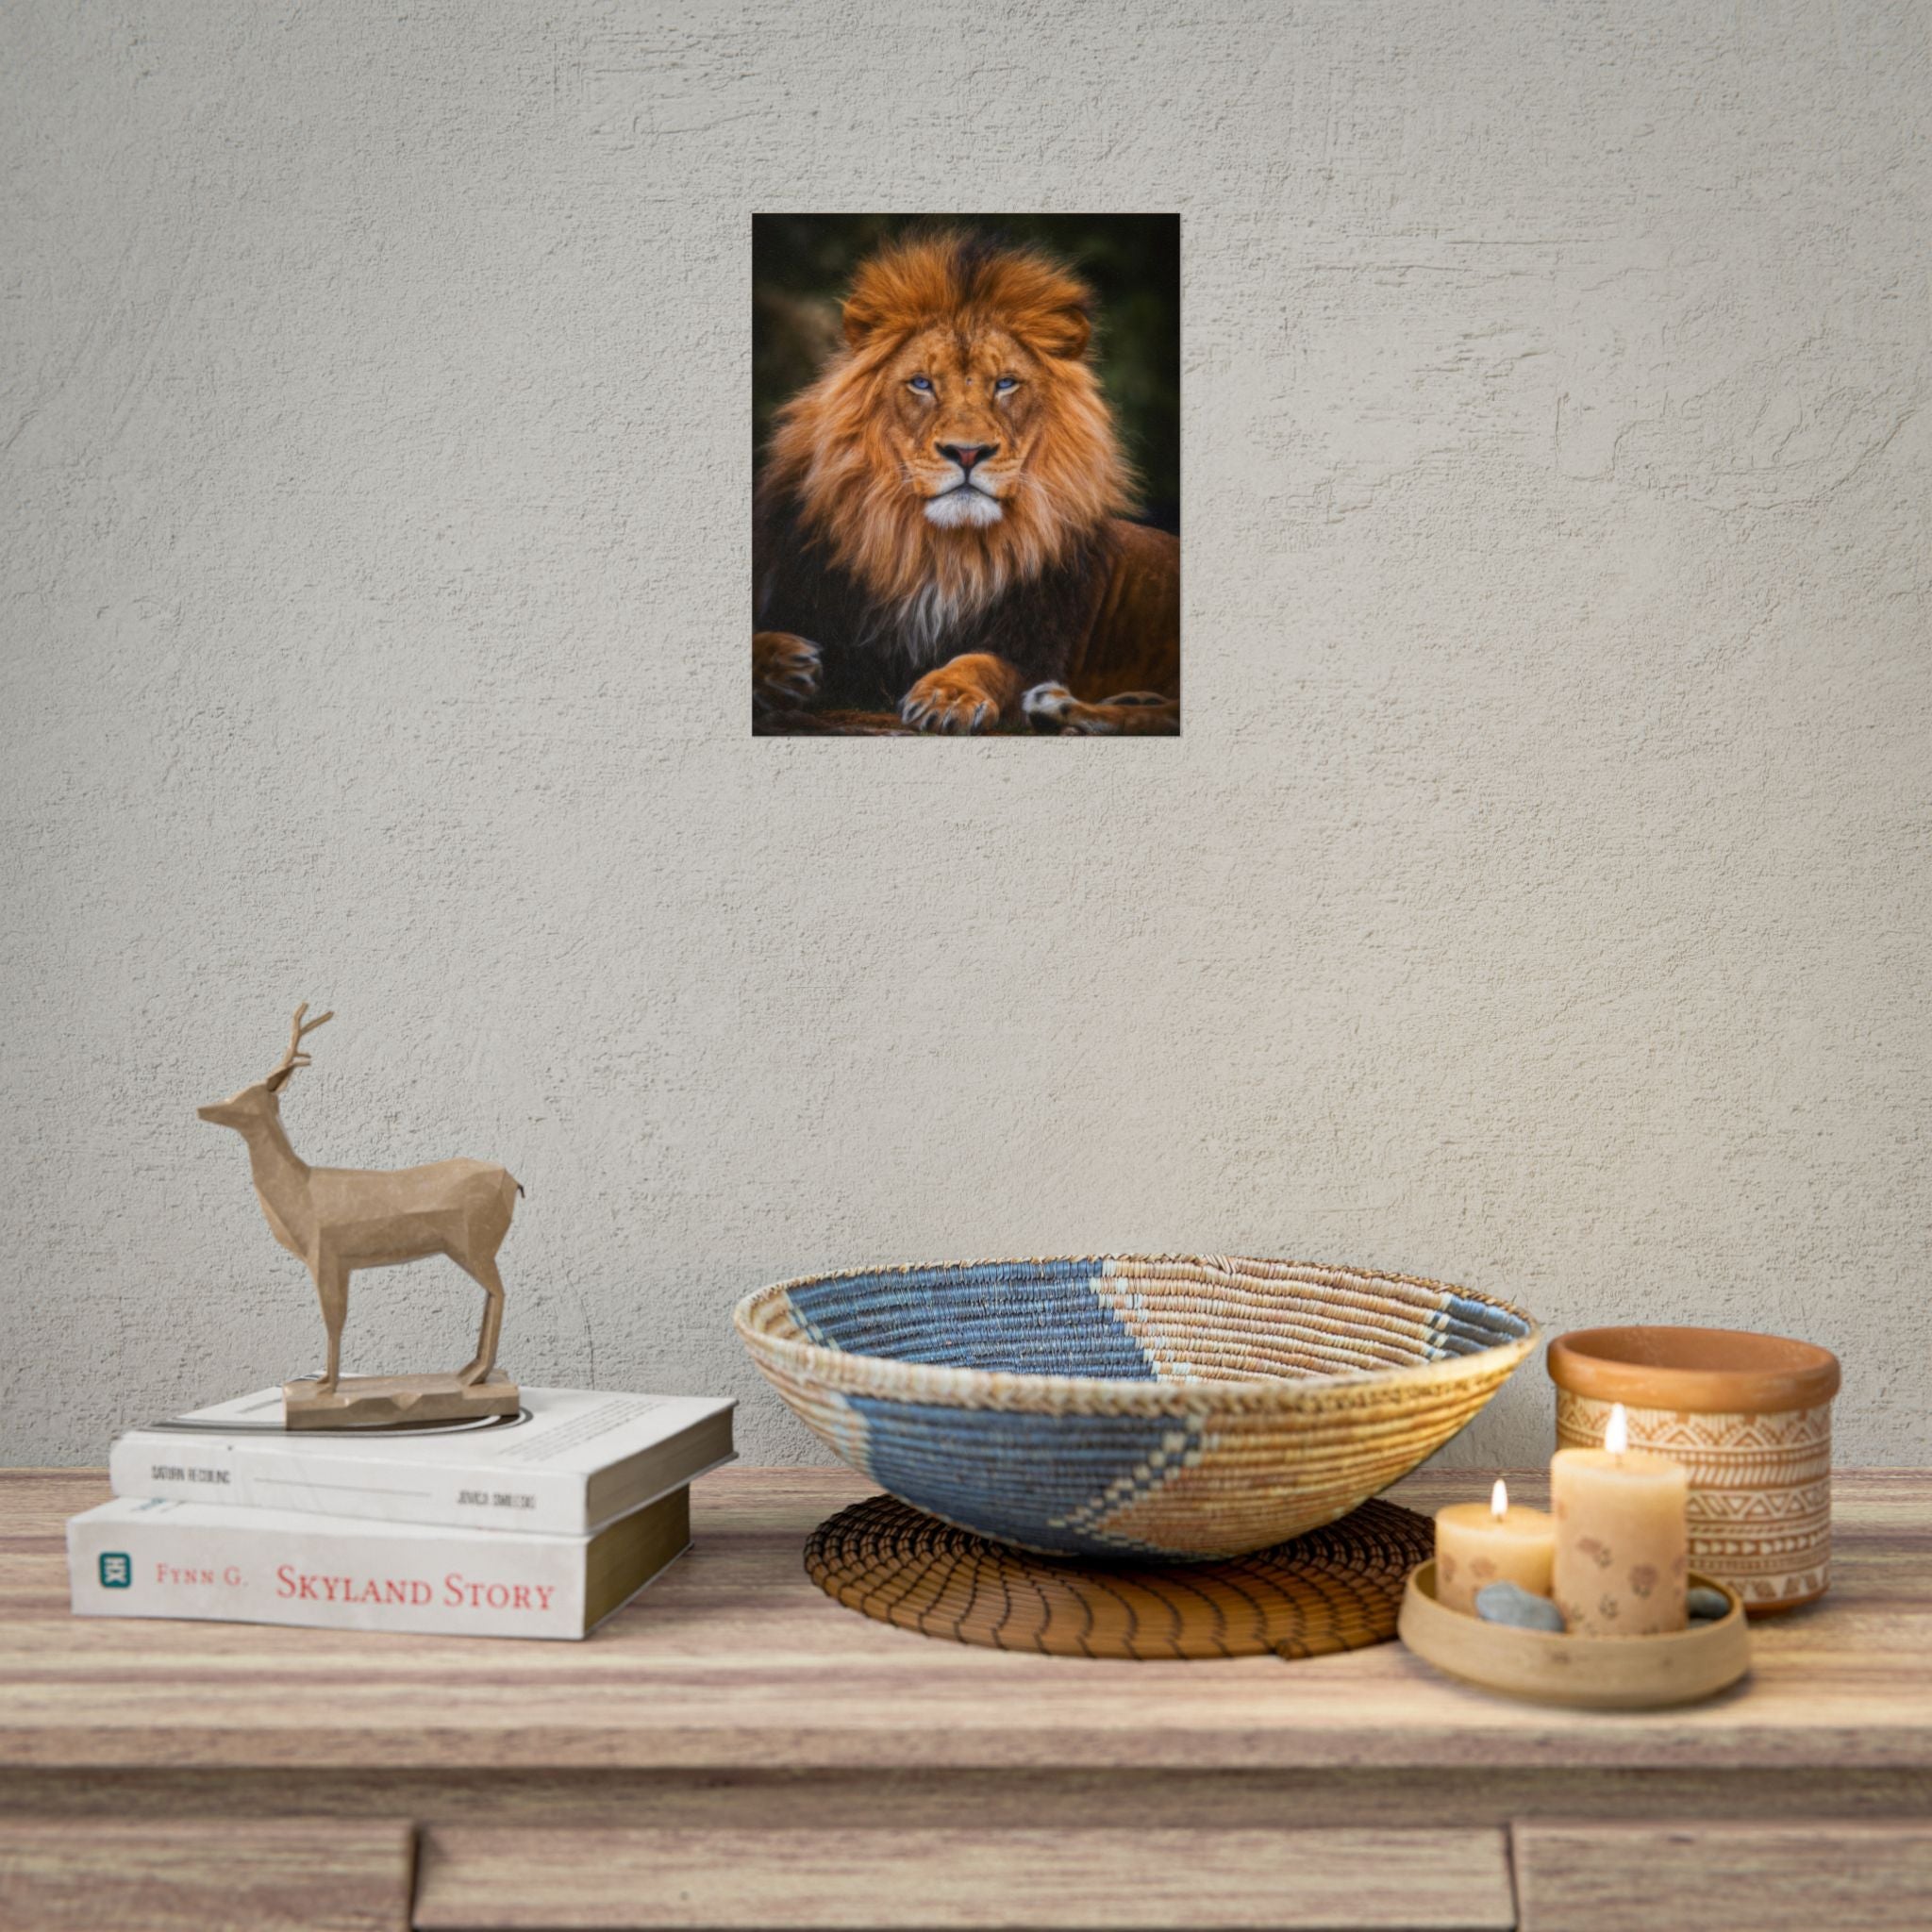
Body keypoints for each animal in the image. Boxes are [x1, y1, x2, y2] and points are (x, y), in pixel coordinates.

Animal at [753, 231, 1179, 735]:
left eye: (1006, 383)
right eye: (921, 383)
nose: (968, 453)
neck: (939, 552)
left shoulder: (1033, 644)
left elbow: (982, 663)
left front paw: (947, 695)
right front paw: (780, 663)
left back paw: (1059, 707)